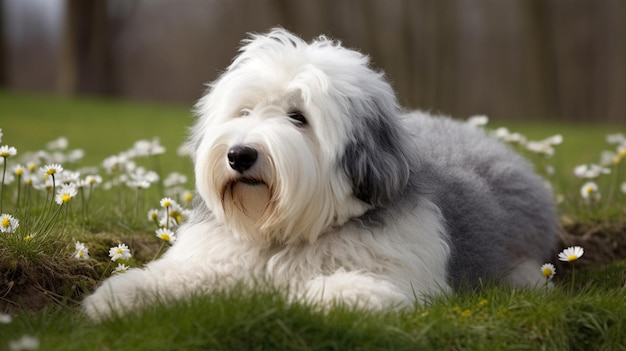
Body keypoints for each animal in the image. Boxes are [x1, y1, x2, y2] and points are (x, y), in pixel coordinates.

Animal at [81, 28, 556, 320]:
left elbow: (345, 290)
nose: (239, 155)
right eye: (245, 112)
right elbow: (175, 278)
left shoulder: (401, 278)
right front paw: (119, 298)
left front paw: (303, 300)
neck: (283, 234)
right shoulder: (214, 261)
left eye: (299, 117)